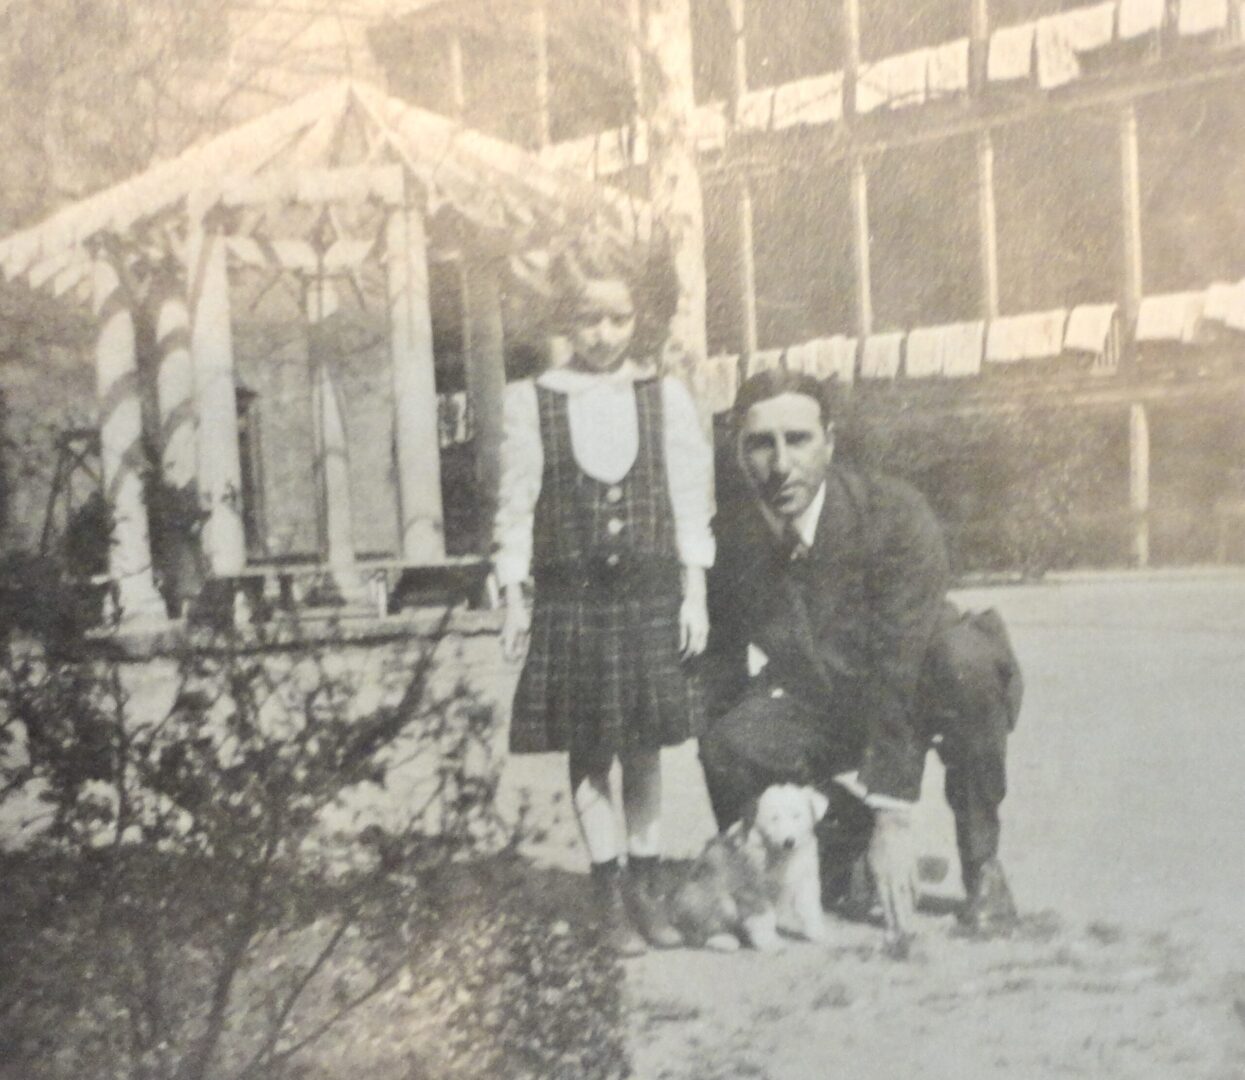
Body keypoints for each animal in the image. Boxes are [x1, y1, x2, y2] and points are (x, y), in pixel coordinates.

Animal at [672, 782, 826, 951]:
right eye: (774, 818)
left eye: (796, 816)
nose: (789, 842)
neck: (779, 855)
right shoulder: (751, 887)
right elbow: (764, 916)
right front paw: (771, 943)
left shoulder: (805, 879)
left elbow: (810, 909)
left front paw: (820, 934)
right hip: (712, 898)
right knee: (699, 932)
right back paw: (723, 940)